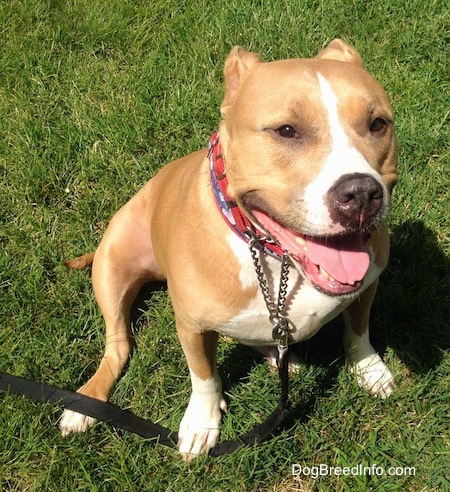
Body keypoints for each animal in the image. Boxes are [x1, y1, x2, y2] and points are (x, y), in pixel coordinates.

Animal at [59, 39, 398, 462]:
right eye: (286, 130)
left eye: (378, 123)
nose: (362, 194)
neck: (274, 257)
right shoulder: (191, 325)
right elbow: (204, 376)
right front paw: (201, 423)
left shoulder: (369, 283)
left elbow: (358, 330)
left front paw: (369, 369)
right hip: (111, 267)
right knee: (118, 346)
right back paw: (84, 403)